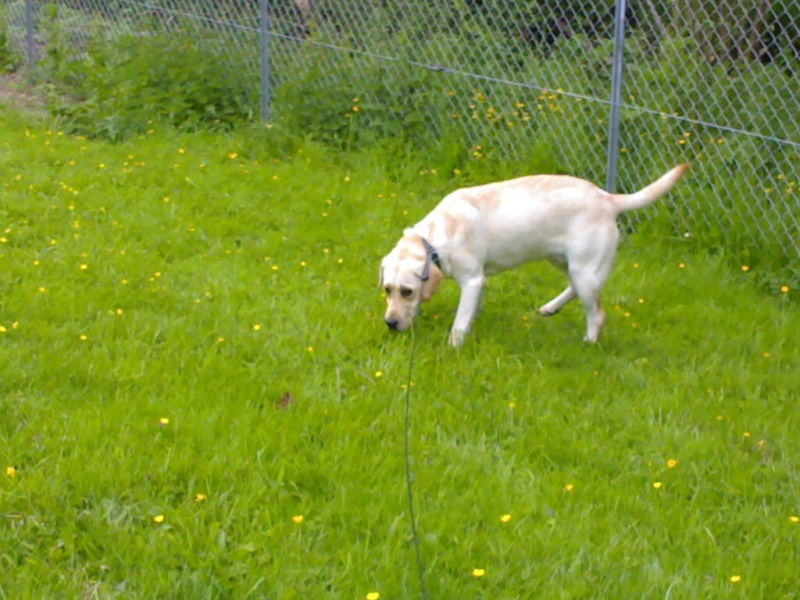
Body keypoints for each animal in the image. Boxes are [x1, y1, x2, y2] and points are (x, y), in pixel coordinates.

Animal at [380, 164, 688, 346]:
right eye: (387, 289)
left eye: (407, 291)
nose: (390, 324)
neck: (434, 239)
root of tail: (609, 199)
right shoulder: (477, 283)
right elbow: (468, 312)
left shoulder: (472, 280)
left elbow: (459, 323)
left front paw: (454, 346)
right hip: (565, 261)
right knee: (574, 288)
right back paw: (551, 307)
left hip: (584, 270)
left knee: (597, 314)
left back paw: (589, 341)